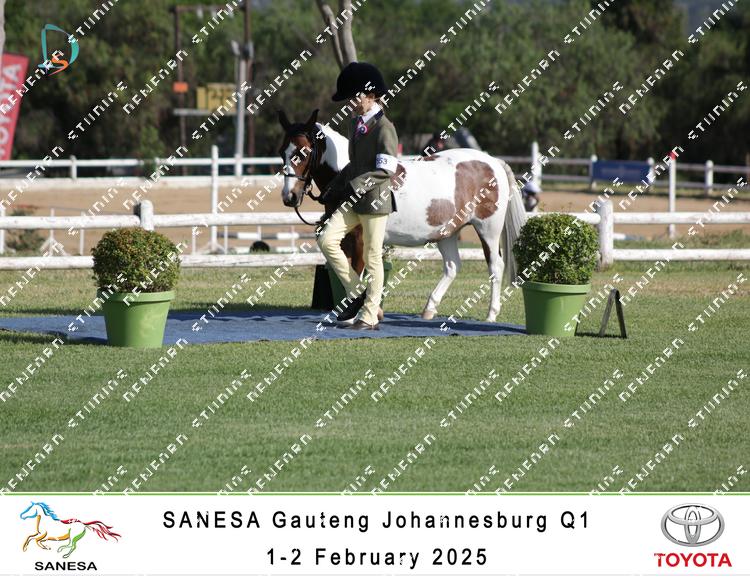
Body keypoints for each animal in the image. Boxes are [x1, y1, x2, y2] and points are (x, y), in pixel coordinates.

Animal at [277, 109, 527, 322]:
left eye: (302, 153)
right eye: (282, 153)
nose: (289, 196)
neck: (350, 180)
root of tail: (492, 161)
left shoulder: (359, 240)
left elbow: (358, 272)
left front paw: (356, 315)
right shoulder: (344, 239)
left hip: (488, 230)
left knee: (495, 267)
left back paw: (491, 314)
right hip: (446, 232)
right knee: (452, 266)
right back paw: (429, 309)